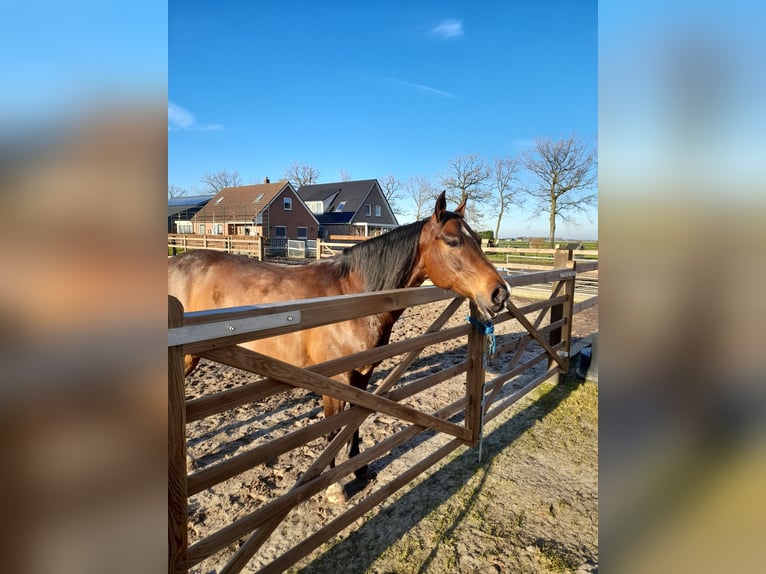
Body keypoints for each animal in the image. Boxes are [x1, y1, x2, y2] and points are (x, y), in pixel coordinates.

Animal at [168, 191, 509, 503]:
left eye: (479, 240)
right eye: (453, 242)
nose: (500, 293)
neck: (351, 297)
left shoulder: (362, 376)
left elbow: (355, 423)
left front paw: (360, 469)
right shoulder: (333, 380)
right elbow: (333, 428)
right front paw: (334, 488)